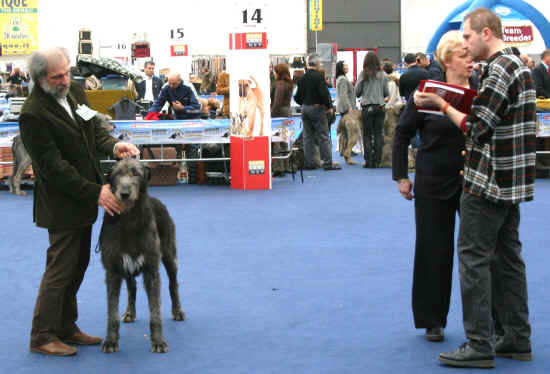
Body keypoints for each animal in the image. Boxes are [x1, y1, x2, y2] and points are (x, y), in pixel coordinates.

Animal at [99, 158, 185, 354]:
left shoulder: (151, 269)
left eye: (135, 173)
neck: (129, 220)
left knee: (173, 284)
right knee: (132, 288)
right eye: (117, 174)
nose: (124, 194)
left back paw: (177, 311)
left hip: (169, 255)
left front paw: (158, 341)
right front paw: (111, 341)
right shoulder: (113, 270)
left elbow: (155, 311)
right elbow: (111, 311)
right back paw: (130, 312)